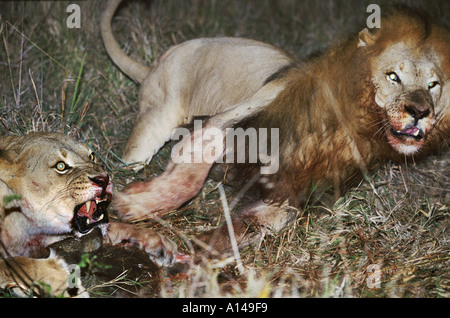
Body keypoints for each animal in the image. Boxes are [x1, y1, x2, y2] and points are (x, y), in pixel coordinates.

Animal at [0, 132, 179, 296]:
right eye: (61, 166)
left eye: (92, 156)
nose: (104, 179)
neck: (23, 224)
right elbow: (18, 263)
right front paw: (63, 282)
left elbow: (114, 227)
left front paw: (158, 242)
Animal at [103, 0, 450, 253]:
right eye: (393, 76)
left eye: (433, 84)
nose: (419, 112)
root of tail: (156, 63)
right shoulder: (228, 120)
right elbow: (188, 176)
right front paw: (132, 205)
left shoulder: (289, 195)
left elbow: (245, 228)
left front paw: (191, 253)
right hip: (149, 130)